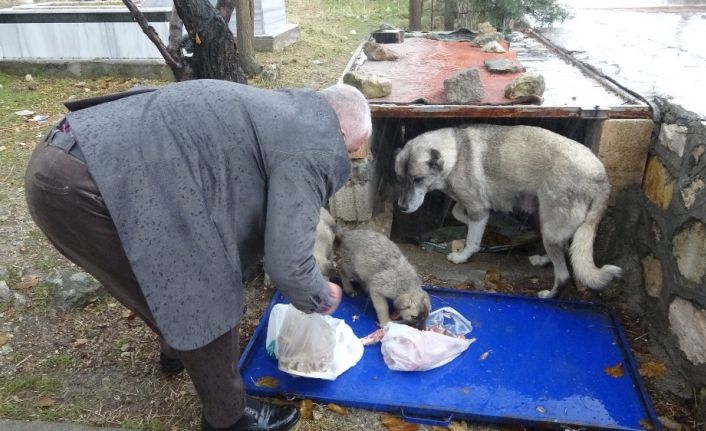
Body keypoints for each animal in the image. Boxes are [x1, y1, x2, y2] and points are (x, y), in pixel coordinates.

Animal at [394, 123, 620, 298]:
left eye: (417, 179)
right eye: (401, 179)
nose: (402, 208)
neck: (456, 153)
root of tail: (600, 178)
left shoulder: (478, 207)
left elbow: (472, 240)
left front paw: (462, 256)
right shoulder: (470, 202)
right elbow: (458, 213)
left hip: (550, 228)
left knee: (563, 274)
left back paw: (548, 295)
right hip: (549, 226)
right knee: (563, 248)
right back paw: (541, 260)